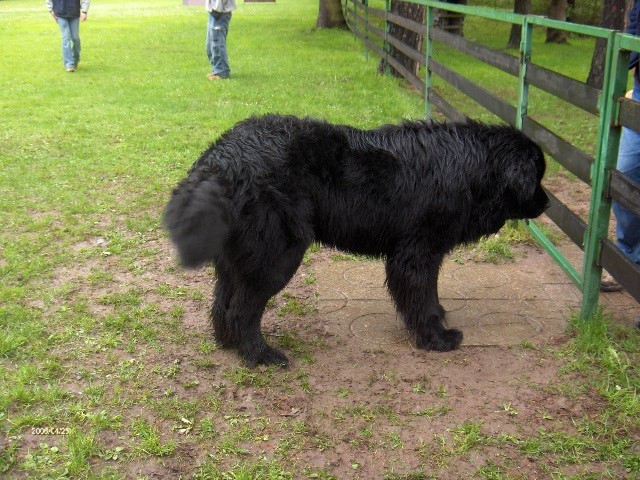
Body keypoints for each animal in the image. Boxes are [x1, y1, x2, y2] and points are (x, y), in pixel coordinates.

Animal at [162, 113, 548, 368]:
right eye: (538, 177)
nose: (547, 203)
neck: (471, 166)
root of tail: (220, 159)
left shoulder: (427, 251)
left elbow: (430, 291)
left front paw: (437, 317)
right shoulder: (415, 252)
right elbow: (420, 296)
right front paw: (436, 338)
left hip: (238, 256)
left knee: (223, 302)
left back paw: (229, 345)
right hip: (277, 255)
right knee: (243, 309)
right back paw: (260, 356)